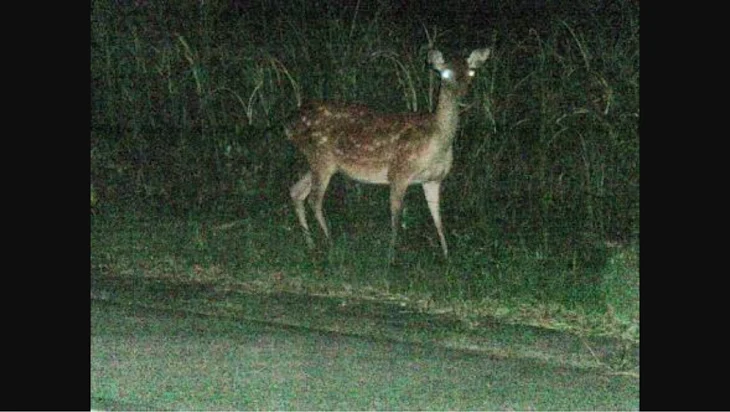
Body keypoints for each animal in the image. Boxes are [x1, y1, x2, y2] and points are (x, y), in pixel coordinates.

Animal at [284, 47, 490, 258]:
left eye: (471, 72)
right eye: (445, 74)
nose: (463, 96)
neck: (436, 144)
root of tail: (289, 124)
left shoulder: (433, 180)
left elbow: (437, 218)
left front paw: (446, 254)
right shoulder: (399, 173)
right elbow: (396, 217)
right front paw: (391, 256)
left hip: (321, 163)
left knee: (296, 191)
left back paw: (310, 243)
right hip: (321, 158)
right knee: (314, 200)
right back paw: (330, 242)